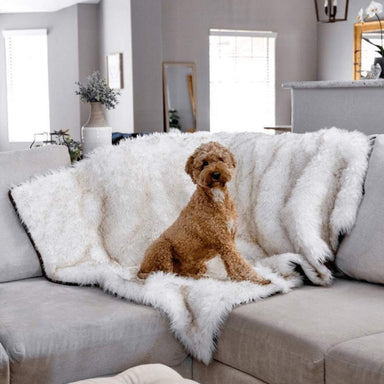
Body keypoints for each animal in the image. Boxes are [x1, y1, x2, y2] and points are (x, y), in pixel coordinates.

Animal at [137, 142, 270, 284]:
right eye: (204, 163)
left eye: (221, 159)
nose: (216, 174)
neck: (216, 196)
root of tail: (140, 269)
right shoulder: (224, 240)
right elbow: (239, 262)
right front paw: (258, 279)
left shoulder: (229, 240)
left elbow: (231, 263)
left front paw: (236, 279)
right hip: (161, 247)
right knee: (167, 274)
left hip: (198, 265)